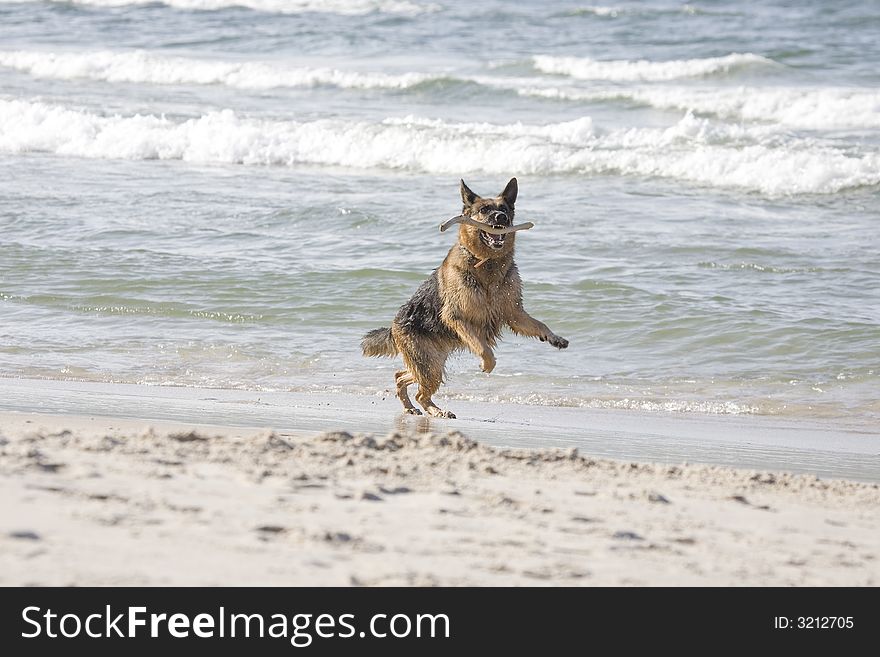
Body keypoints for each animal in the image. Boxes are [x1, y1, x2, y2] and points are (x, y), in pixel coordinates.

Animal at [360, 178, 568, 416]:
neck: (486, 264)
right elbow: (482, 347)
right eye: (484, 210)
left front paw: (555, 338)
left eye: (504, 209)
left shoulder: (514, 313)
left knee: (402, 377)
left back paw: (416, 407)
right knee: (419, 391)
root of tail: (393, 325)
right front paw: (486, 364)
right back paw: (436, 411)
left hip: (432, 364)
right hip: (429, 365)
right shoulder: (457, 318)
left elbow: (539, 324)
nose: (501, 218)